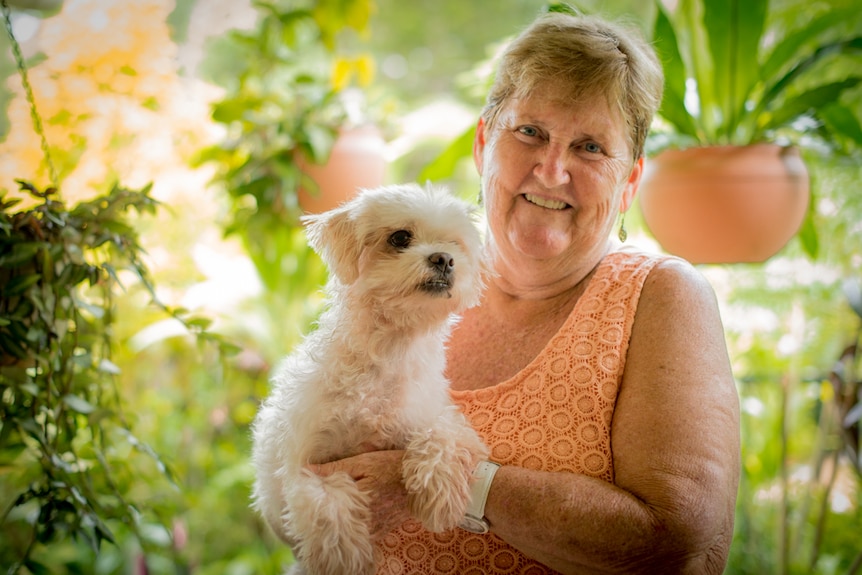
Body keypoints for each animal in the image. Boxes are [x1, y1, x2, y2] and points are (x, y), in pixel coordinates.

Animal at [253, 183, 490, 575]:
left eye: (454, 244)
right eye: (400, 237)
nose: (444, 259)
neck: (391, 349)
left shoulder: (434, 414)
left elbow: (445, 435)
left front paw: (439, 495)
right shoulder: (305, 460)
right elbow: (327, 500)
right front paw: (344, 557)